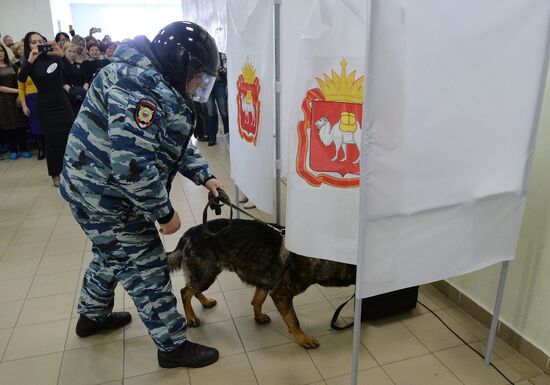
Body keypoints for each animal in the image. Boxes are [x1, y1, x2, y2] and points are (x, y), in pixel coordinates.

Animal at [168, 218, 358, 346]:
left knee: (192, 288)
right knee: (185, 292)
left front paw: (258, 316)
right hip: (206, 273)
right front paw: (302, 338)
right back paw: (191, 317)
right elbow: (293, 319)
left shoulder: (265, 283)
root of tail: (190, 232)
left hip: (206, 273)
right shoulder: (281, 294)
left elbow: (257, 300)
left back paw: (205, 301)